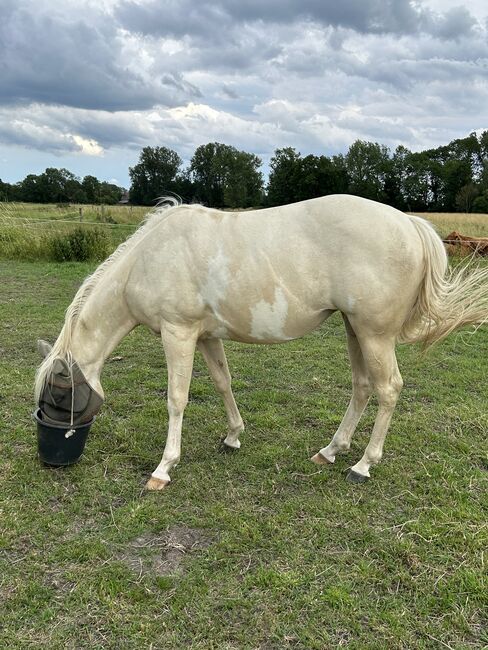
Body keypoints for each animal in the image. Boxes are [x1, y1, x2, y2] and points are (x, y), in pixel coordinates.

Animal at [34, 195, 488, 488]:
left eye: (58, 396)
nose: (49, 458)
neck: (150, 258)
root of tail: (411, 224)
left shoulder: (178, 333)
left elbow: (177, 398)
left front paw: (164, 468)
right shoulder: (205, 336)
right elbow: (223, 382)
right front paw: (233, 436)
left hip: (374, 334)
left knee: (388, 389)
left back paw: (362, 465)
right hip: (354, 329)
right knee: (362, 387)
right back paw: (331, 450)